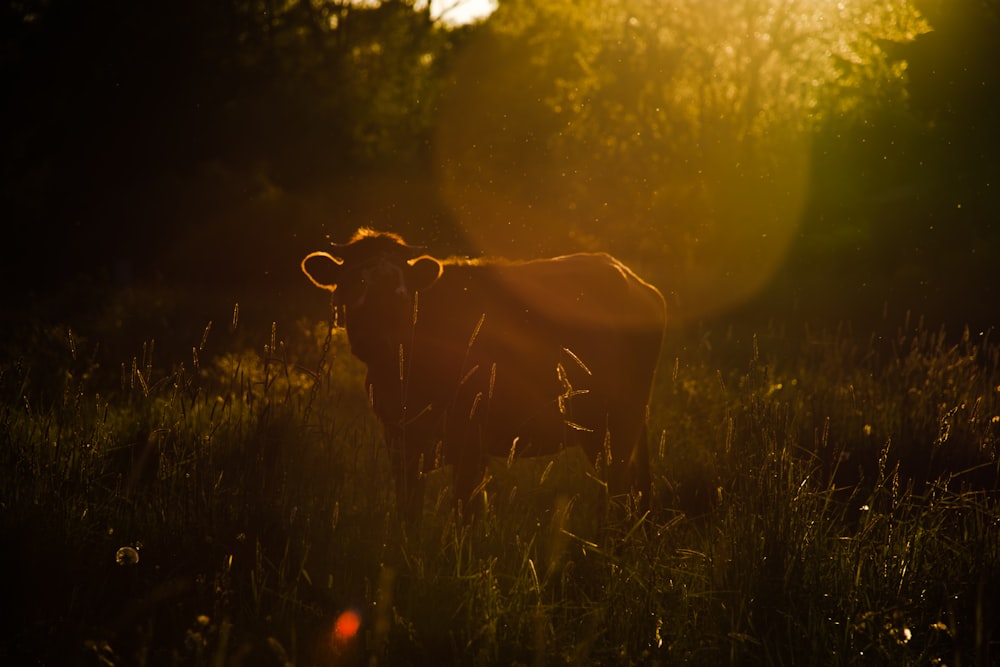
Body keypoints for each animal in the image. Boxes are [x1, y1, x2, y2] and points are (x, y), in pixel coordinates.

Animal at [300, 230, 668, 520]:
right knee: (639, 490)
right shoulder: (400, 443)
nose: (373, 340)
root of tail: (633, 280)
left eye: (400, 291)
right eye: (352, 283)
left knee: (618, 493)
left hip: (614, 427)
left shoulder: (470, 443)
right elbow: (409, 514)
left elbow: (464, 514)